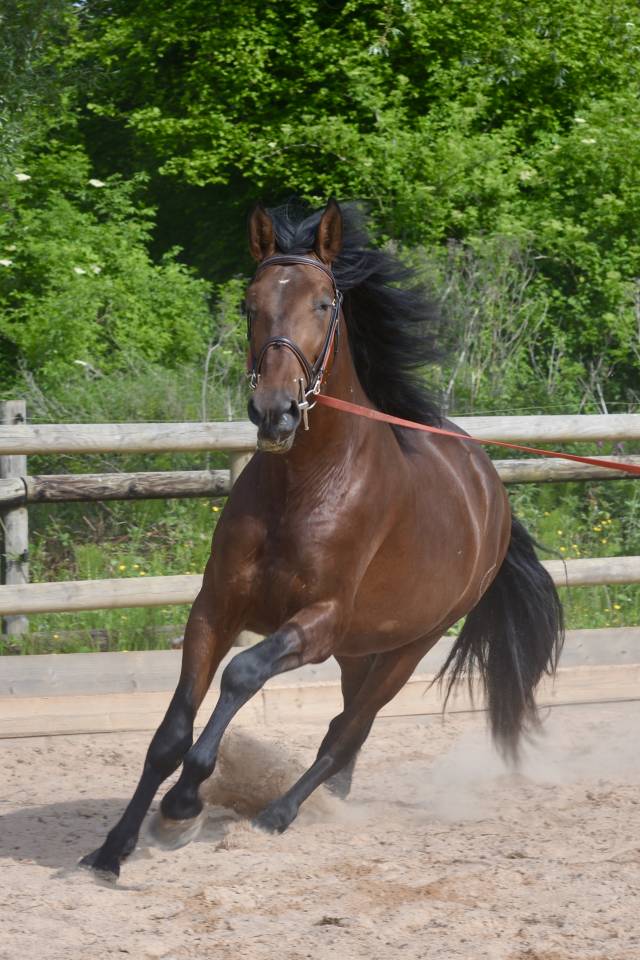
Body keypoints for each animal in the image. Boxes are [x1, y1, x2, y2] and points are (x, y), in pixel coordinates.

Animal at [81, 198, 563, 878]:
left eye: (323, 305)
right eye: (250, 303)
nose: (274, 411)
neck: (305, 485)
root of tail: (489, 487)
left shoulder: (318, 622)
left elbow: (241, 674)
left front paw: (182, 804)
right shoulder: (216, 608)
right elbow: (170, 732)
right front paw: (115, 846)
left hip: (409, 647)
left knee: (346, 732)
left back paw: (279, 814)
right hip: (361, 650)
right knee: (343, 728)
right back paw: (325, 801)